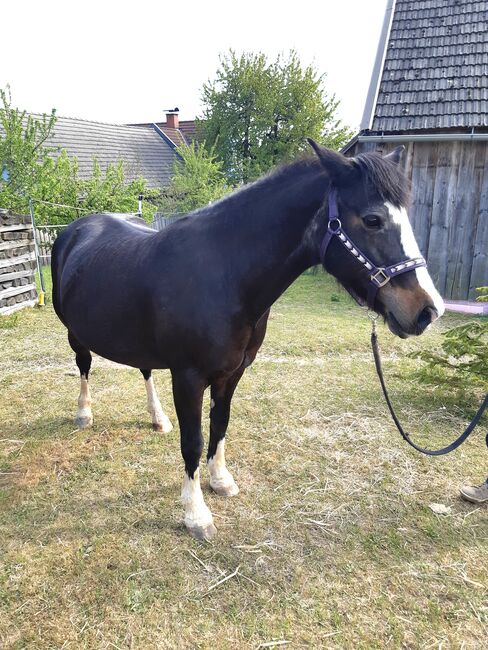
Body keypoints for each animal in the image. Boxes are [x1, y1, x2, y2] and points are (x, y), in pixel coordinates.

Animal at [51, 141, 444, 540]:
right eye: (372, 220)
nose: (428, 310)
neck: (224, 275)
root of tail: (76, 228)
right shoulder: (188, 377)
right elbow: (192, 442)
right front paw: (196, 514)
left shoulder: (232, 373)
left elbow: (220, 424)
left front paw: (221, 480)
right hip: (74, 334)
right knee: (84, 366)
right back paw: (84, 413)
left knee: (144, 369)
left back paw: (158, 419)